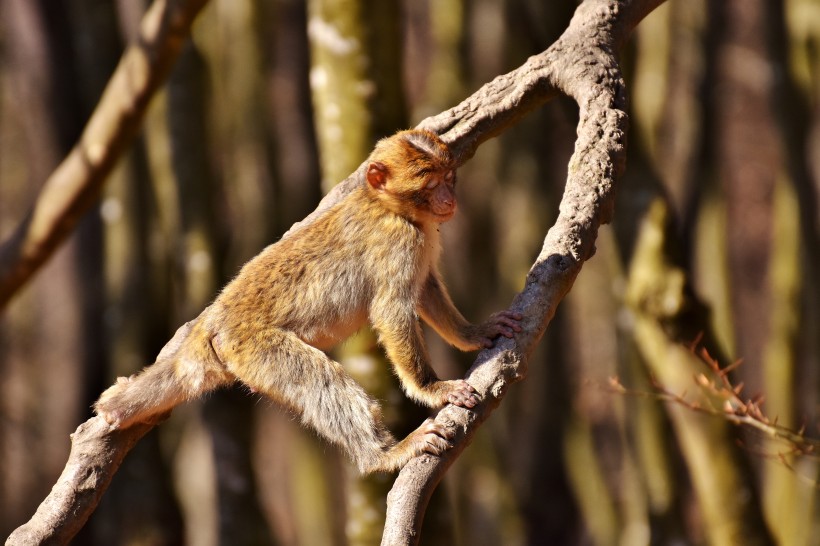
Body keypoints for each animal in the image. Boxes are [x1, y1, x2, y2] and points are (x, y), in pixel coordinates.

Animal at [94, 127, 520, 472]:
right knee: (319, 379)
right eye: (429, 184)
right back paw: (382, 455)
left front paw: (472, 333)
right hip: (253, 347)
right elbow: (392, 310)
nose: (449, 199)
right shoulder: (399, 241)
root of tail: (211, 325)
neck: (391, 208)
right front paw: (432, 388)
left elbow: (425, 288)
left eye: (449, 177)